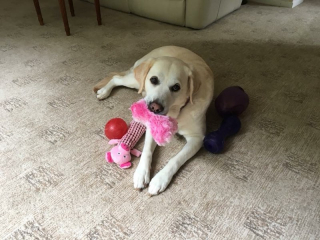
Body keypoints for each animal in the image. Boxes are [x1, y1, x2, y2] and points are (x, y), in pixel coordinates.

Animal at [95, 45, 215, 195]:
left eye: (176, 87)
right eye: (153, 80)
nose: (154, 107)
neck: (175, 113)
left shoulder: (197, 138)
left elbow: (176, 159)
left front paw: (160, 179)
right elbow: (147, 150)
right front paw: (141, 173)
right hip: (136, 81)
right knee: (117, 78)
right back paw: (104, 91)